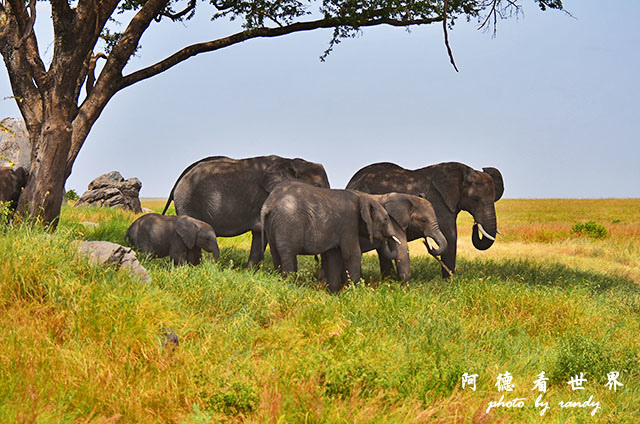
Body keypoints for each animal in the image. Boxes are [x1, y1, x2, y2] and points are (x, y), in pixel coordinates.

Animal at [161, 154, 330, 266]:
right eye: (317, 186)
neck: (292, 162)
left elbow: (259, 234)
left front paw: (250, 272)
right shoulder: (265, 197)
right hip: (187, 202)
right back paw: (193, 267)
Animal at [260, 181, 400, 294]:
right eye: (386, 219)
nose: (385, 238)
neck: (362, 197)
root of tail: (268, 204)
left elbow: (334, 256)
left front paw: (333, 294)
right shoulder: (349, 223)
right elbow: (351, 254)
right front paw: (357, 293)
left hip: (272, 224)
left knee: (275, 253)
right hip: (288, 223)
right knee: (288, 255)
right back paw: (289, 287)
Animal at [344, 162, 504, 278]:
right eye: (475, 199)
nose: (475, 224)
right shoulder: (439, 201)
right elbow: (450, 235)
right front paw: (449, 281)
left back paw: (388, 280)